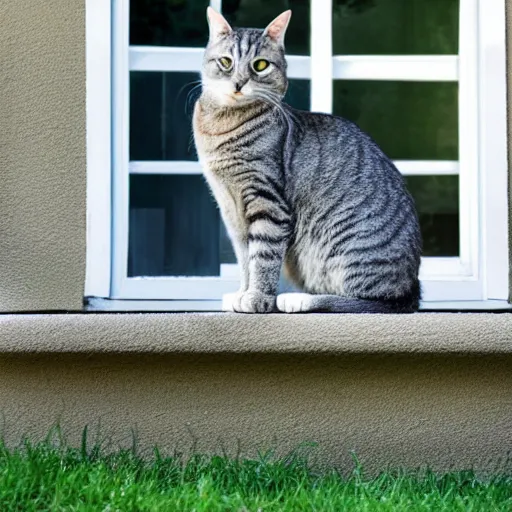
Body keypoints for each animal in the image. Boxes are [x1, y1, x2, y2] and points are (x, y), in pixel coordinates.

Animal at [194, 7, 422, 312]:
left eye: (260, 65)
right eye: (226, 62)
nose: (239, 83)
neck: (221, 124)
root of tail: (412, 289)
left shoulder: (267, 202)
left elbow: (262, 257)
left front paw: (257, 297)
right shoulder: (231, 211)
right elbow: (244, 259)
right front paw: (243, 292)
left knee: (365, 301)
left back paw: (297, 298)